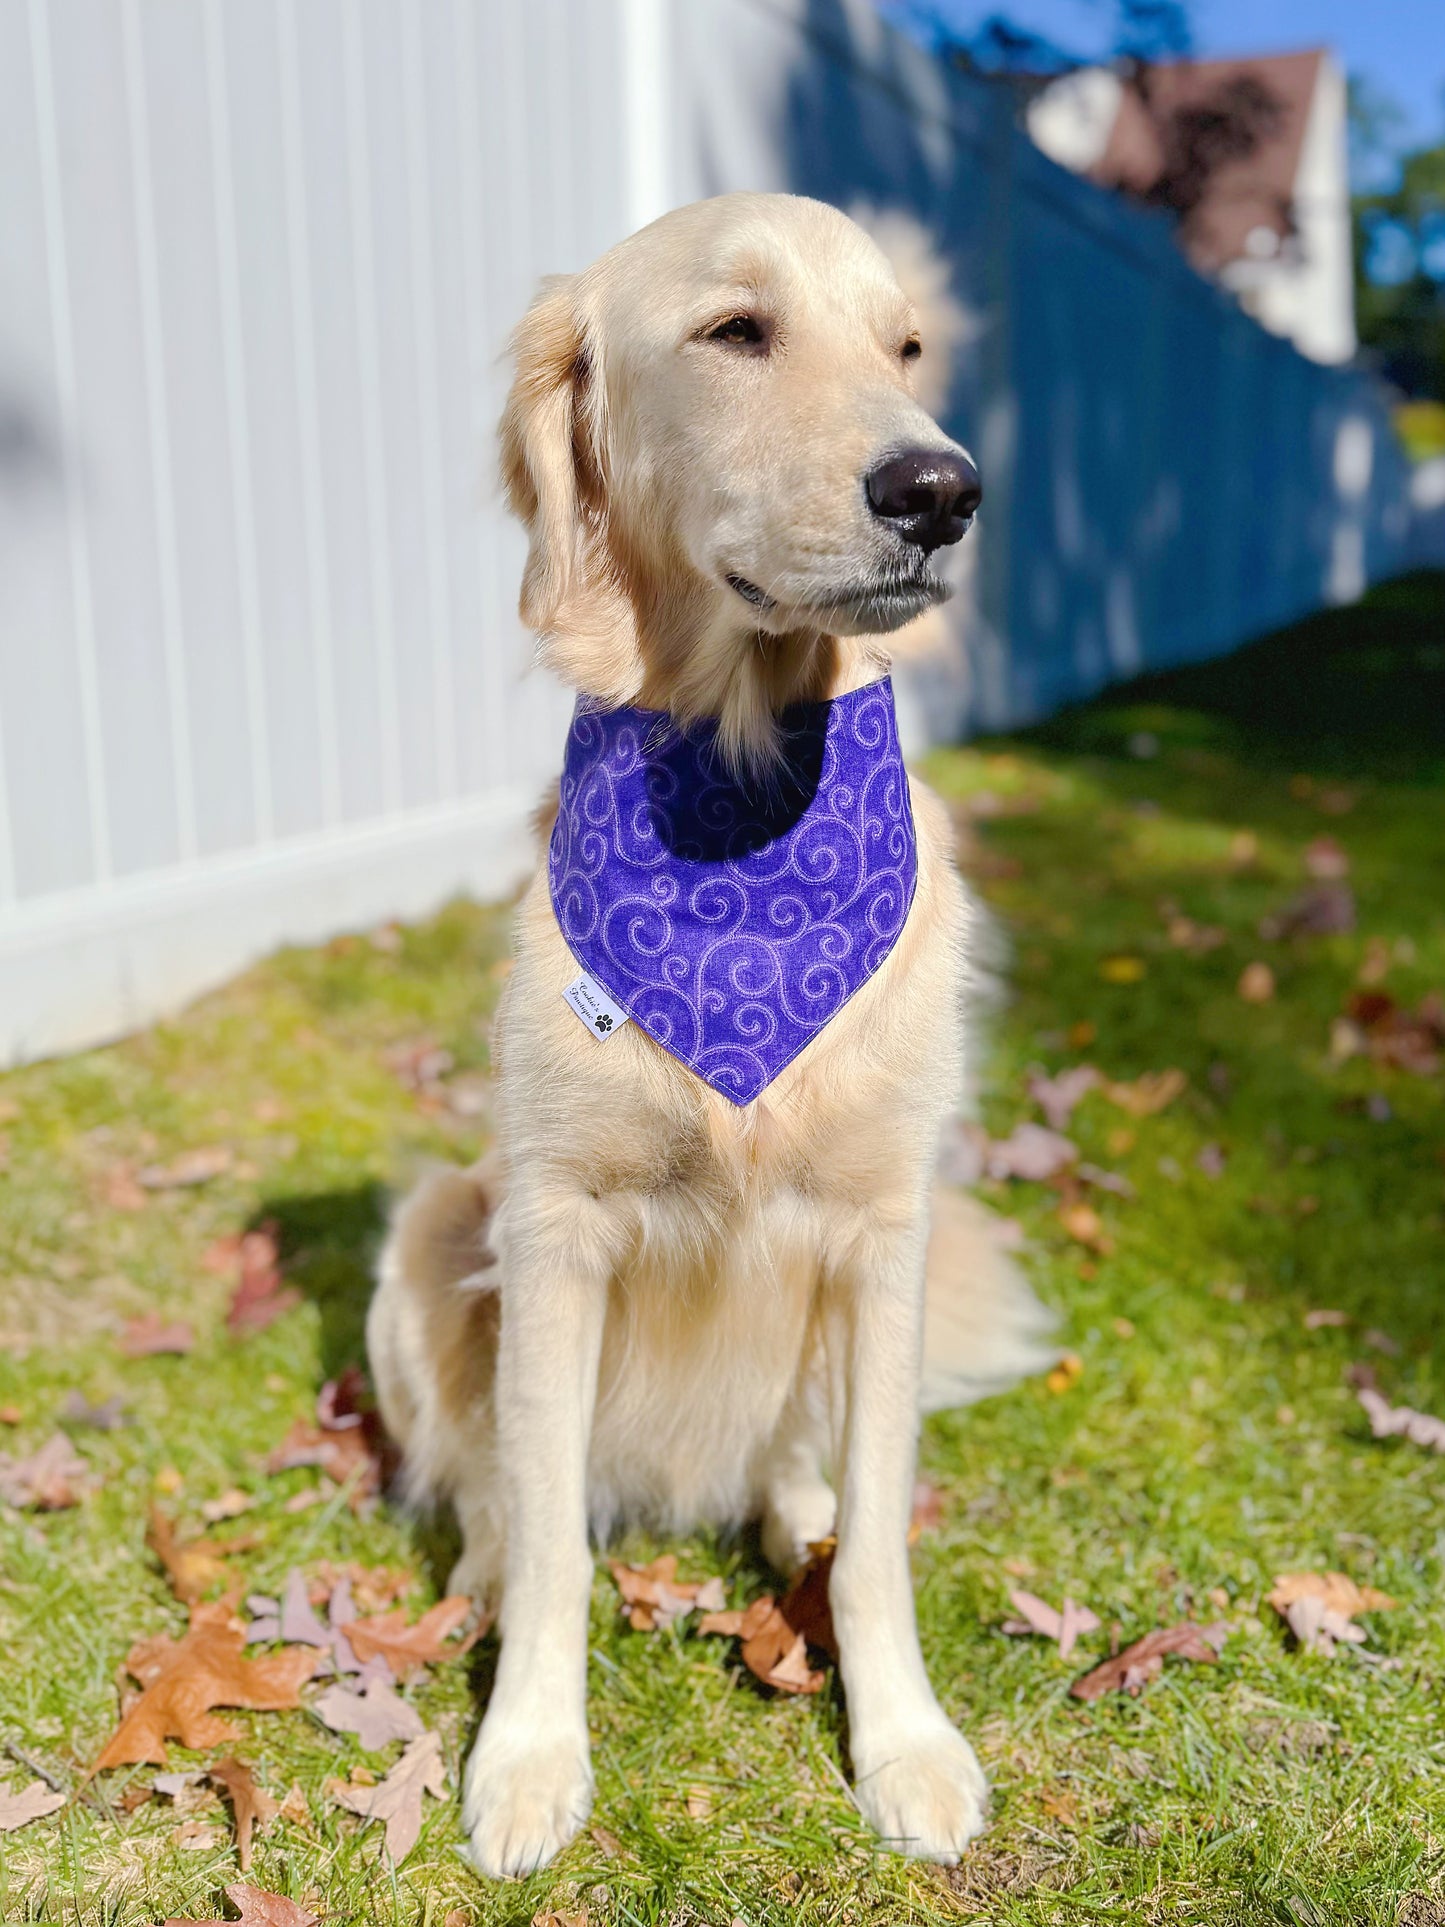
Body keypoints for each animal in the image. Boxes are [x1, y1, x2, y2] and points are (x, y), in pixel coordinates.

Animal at [367, 187, 1055, 1873]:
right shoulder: (552, 1223)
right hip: (435, 1227)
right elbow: (550, 1534)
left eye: (904, 347)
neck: (743, 803)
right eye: (737, 331)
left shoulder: (885, 1221)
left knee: (799, 1470)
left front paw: (903, 1740)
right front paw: (526, 1751)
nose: (943, 488)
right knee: (483, 1486)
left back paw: (786, 1505)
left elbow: (877, 1537)